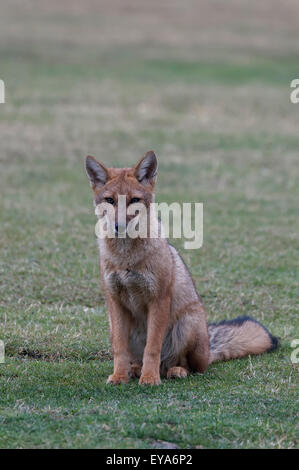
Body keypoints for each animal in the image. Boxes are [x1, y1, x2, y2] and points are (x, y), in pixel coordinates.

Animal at [85, 151, 278, 386]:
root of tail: (209, 349)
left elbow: (152, 348)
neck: (126, 259)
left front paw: (150, 379)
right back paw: (135, 370)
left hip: (187, 324)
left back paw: (173, 371)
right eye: (110, 200)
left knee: (189, 366)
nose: (119, 226)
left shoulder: (159, 299)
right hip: (113, 327)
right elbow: (119, 349)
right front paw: (120, 376)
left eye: (134, 200)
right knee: (139, 358)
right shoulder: (115, 301)